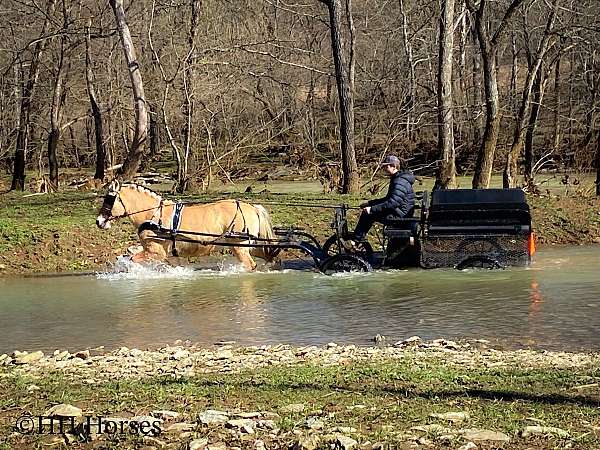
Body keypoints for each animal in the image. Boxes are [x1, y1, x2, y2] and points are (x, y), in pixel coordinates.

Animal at [95, 180, 278, 270]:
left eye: (109, 199)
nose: (99, 221)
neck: (153, 215)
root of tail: (253, 207)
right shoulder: (165, 254)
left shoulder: (156, 252)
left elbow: (134, 259)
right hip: (249, 245)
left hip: (239, 246)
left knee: (250, 265)